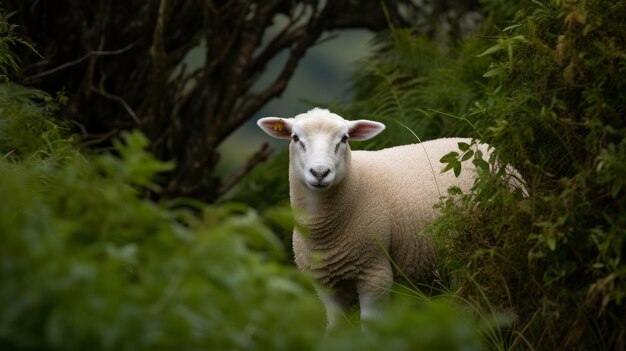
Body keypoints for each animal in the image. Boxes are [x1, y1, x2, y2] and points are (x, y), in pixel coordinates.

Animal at [256, 108, 490, 332]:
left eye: (344, 138)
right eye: (295, 138)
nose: (320, 173)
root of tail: (484, 143)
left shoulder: (374, 273)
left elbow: (370, 329)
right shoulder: (325, 285)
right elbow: (335, 330)